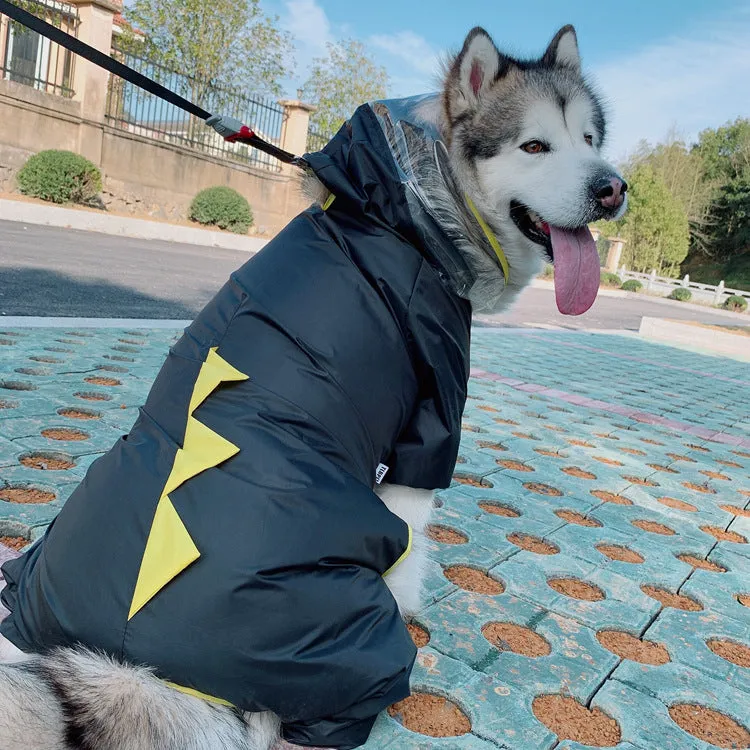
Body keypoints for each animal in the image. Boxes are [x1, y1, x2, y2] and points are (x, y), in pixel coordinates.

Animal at [0, 23, 624, 750]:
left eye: (590, 140)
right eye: (534, 146)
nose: (614, 188)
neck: (406, 205)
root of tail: (135, 669)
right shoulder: (431, 420)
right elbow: (412, 529)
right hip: (358, 648)